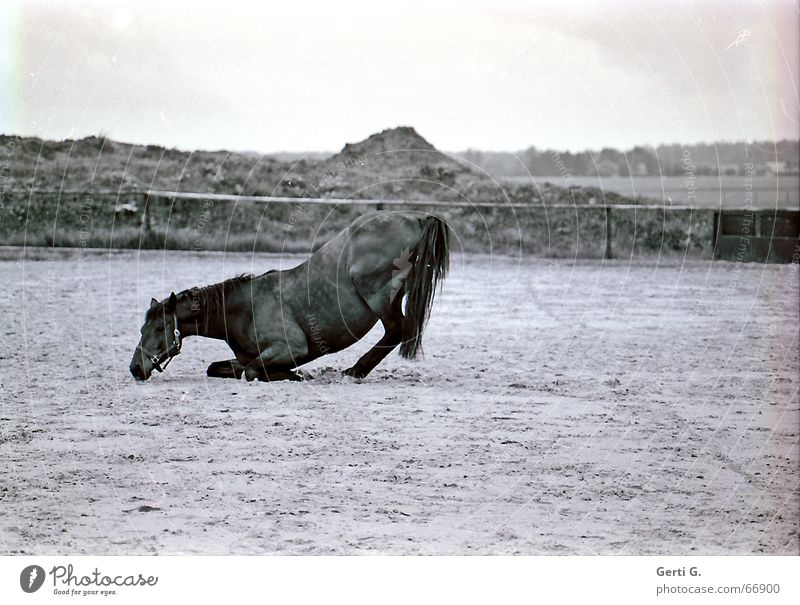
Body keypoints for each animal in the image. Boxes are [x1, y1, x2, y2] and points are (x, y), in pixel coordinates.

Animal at [131, 212, 450, 380]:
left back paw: (354, 371)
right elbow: (220, 368)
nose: (135, 367)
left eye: (160, 328)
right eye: (142, 328)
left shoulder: (289, 348)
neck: (244, 308)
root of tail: (416, 218)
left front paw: (296, 374)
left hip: (380, 297)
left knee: (397, 330)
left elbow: (253, 372)